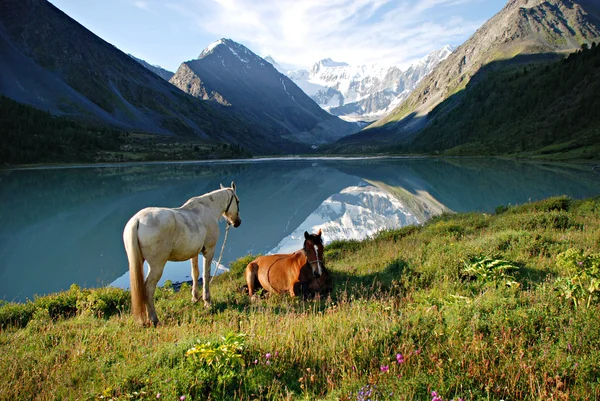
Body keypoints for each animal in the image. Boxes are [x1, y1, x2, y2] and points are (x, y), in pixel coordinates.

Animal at [122, 181, 241, 324]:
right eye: (238, 201)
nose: (237, 222)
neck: (208, 209)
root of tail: (137, 221)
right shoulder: (209, 250)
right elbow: (206, 275)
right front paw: (207, 302)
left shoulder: (195, 253)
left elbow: (195, 274)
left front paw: (195, 298)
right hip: (157, 266)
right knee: (148, 288)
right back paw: (154, 319)